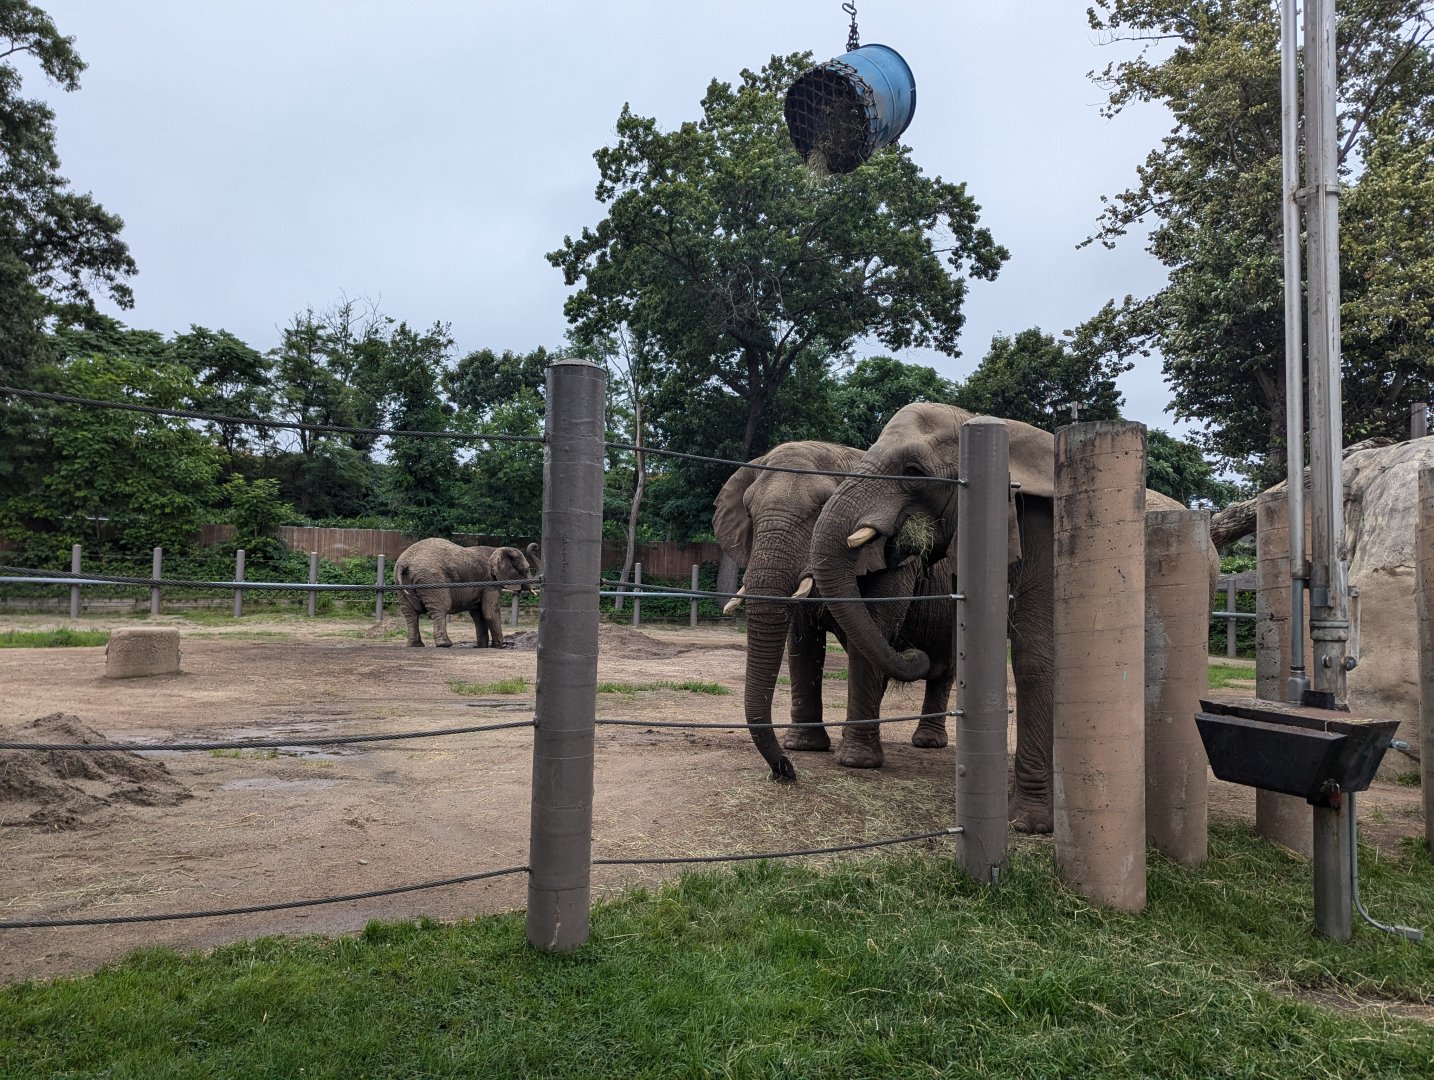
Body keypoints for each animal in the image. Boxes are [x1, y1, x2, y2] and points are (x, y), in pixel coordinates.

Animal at [393, 538, 540, 648]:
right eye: (527, 570)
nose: (535, 546)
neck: (497, 549)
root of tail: (404, 563)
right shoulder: (490, 582)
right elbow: (490, 612)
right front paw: (500, 646)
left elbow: (477, 614)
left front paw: (482, 646)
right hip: (431, 580)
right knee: (440, 609)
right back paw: (445, 644)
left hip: (401, 583)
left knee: (410, 613)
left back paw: (415, 645)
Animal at [714, 441, 955, 780]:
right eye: (750, 511)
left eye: (820, 509)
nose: (786, 772)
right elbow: (803, 644)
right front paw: (803, 747)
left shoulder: (892, 561)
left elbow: (870, 635)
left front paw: (856, 762)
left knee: (945, 668)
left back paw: (927, 742)